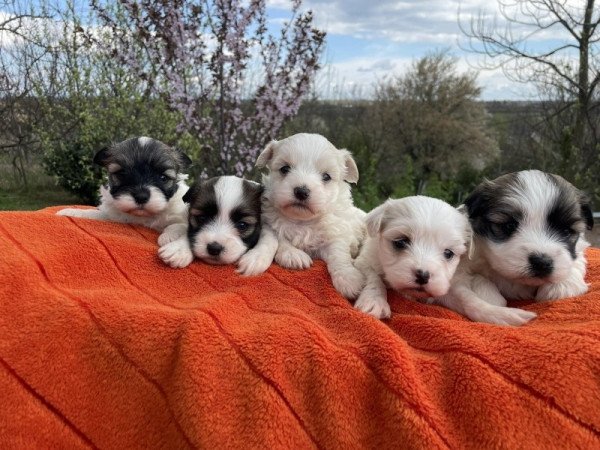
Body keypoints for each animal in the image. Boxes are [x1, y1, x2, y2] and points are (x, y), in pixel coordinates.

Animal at [57, 137, 191, 243]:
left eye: (163, 177)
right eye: (122, 174)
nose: (141, 197)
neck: (141, 216)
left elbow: (178, 225)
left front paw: (169, 237)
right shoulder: (111, 216)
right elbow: (93, 213)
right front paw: (70, 212)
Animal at [255, 132, 368, 298]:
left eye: (326, 176)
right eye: (285, 169)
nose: (301, 191)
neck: (303, 221)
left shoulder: (336, 234)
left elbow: (339, 254)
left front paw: (349, 279)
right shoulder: (271, 221)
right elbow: (281, 237)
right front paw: (293, 255)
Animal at [436, 171, 596, 326]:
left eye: (566, 231)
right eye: (508, 226)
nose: (542, 262)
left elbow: (574, 263)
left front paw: (561, 287)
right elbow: (475, 278)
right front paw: (489, 296)